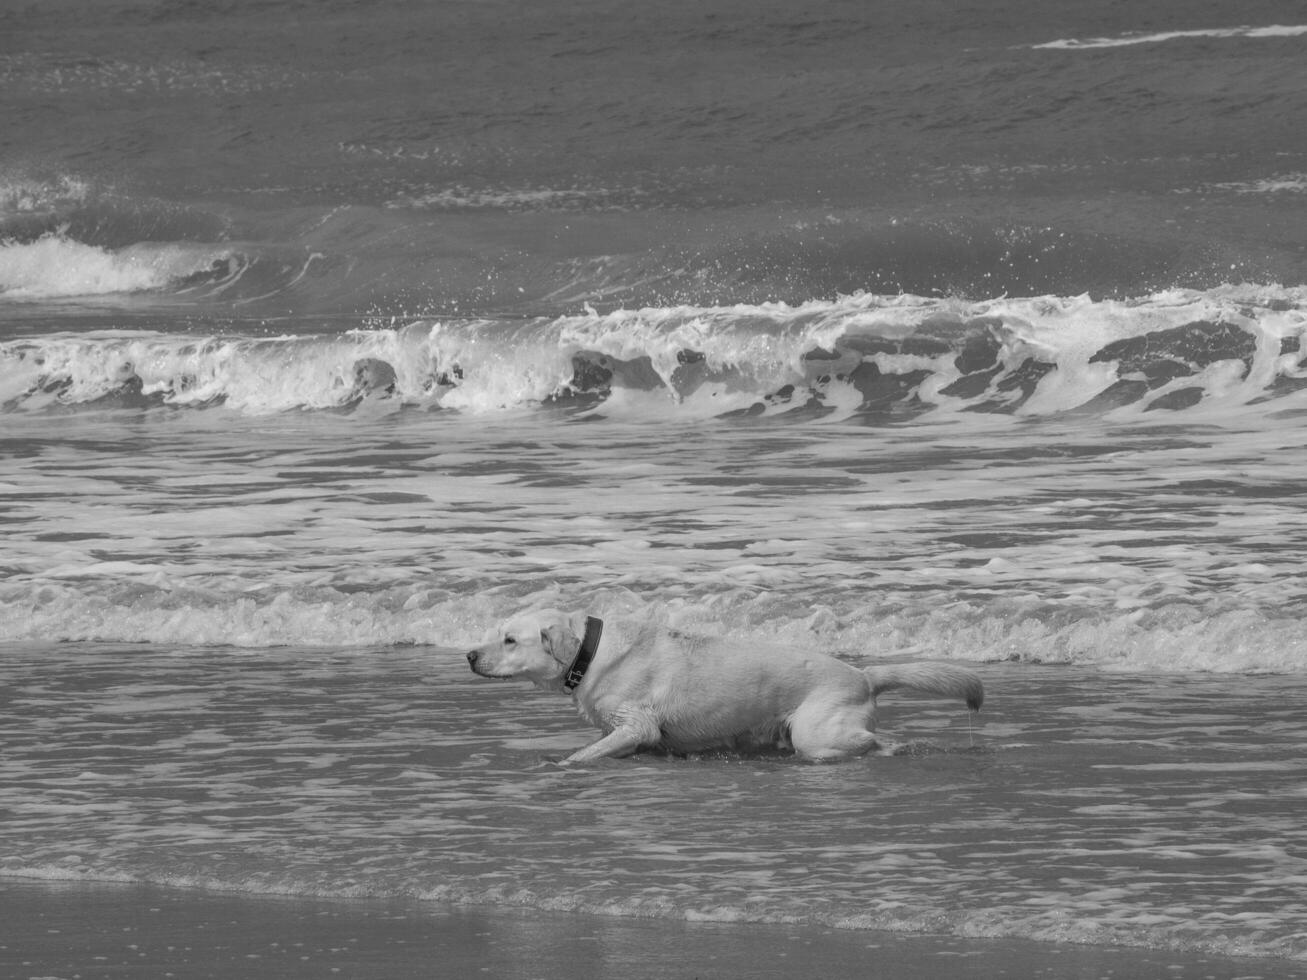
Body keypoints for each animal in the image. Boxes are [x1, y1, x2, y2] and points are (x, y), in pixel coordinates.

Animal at [465, 606, 982, 768]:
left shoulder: (635, 725)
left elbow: (582, 755)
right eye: (497, 632)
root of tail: (864, 675)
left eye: (509, 640)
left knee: (878, 741)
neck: (590, 654)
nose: (469, 655)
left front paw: (560, 765)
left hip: (816, 733)